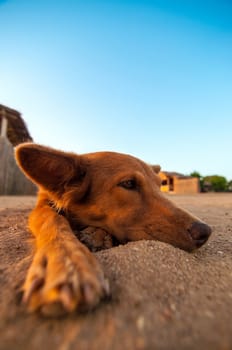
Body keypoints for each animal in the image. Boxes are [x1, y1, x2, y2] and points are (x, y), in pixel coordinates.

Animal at [14, 144, 210, 316]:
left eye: (159, 184)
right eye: (129, 183)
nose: (205, 232)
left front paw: (96, 236)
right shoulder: (42, 206)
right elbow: (52, 220)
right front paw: (66, 263)